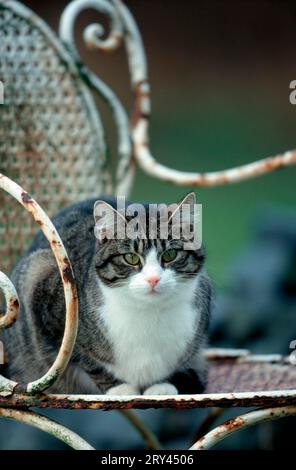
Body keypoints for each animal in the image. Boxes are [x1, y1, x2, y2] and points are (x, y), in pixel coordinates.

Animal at [1, 193, 210, 394]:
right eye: (131, 257)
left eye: (170, 255)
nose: (153, 279)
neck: (149, 312)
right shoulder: (49, 305)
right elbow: (83, 358)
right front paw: (120, 389)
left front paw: (163, 385)